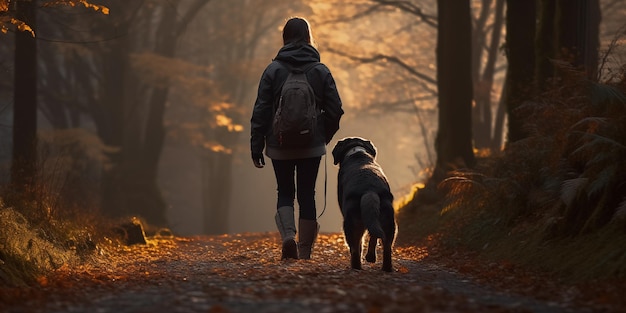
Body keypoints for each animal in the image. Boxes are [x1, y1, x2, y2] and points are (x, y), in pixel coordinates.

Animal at [332, 136, 394, 270]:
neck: (357, 153)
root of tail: (369, 191)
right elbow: (373, 237)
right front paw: (371, 257)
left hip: (351, 225)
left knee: (355, 248)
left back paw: (356, 267)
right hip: (389, 222)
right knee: (386, 246)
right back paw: (385, 267)